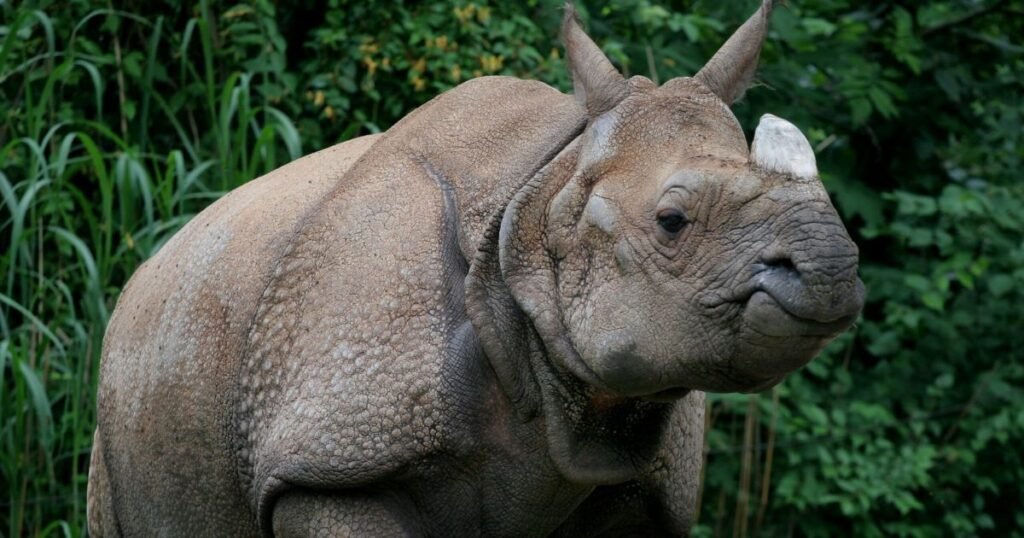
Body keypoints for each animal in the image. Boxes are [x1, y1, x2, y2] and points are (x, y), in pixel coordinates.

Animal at [87, 1, 864, 536]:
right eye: (672, 222)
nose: (830, 269)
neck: (539, 209)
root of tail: (148, 272)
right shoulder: (332, 467)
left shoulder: (641, 488)